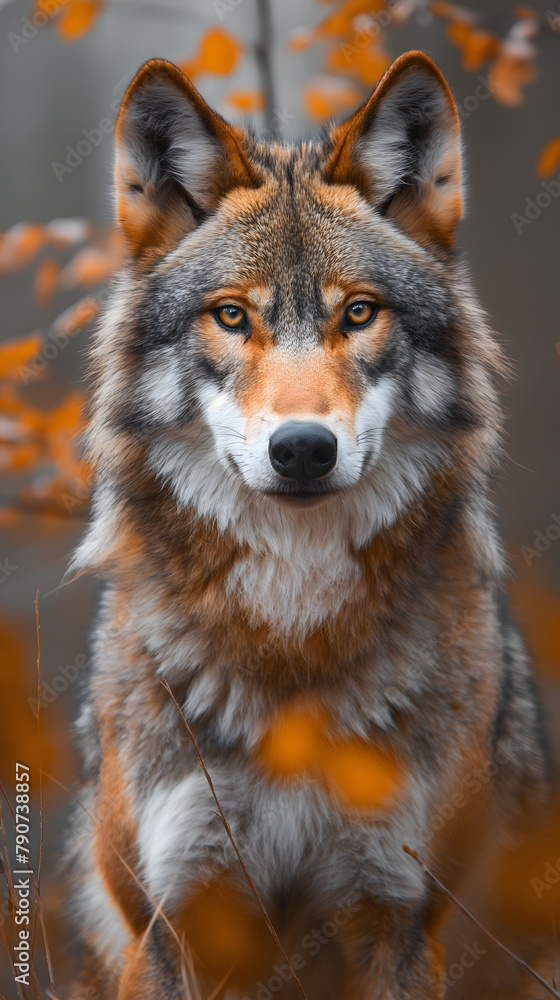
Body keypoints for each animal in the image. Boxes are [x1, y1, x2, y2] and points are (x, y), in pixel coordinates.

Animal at [68, 50, 549, 999]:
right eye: (232, 315)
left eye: (358, 313)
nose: (301, 449)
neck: (293, 629)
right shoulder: (172, 924)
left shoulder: (400, 918)